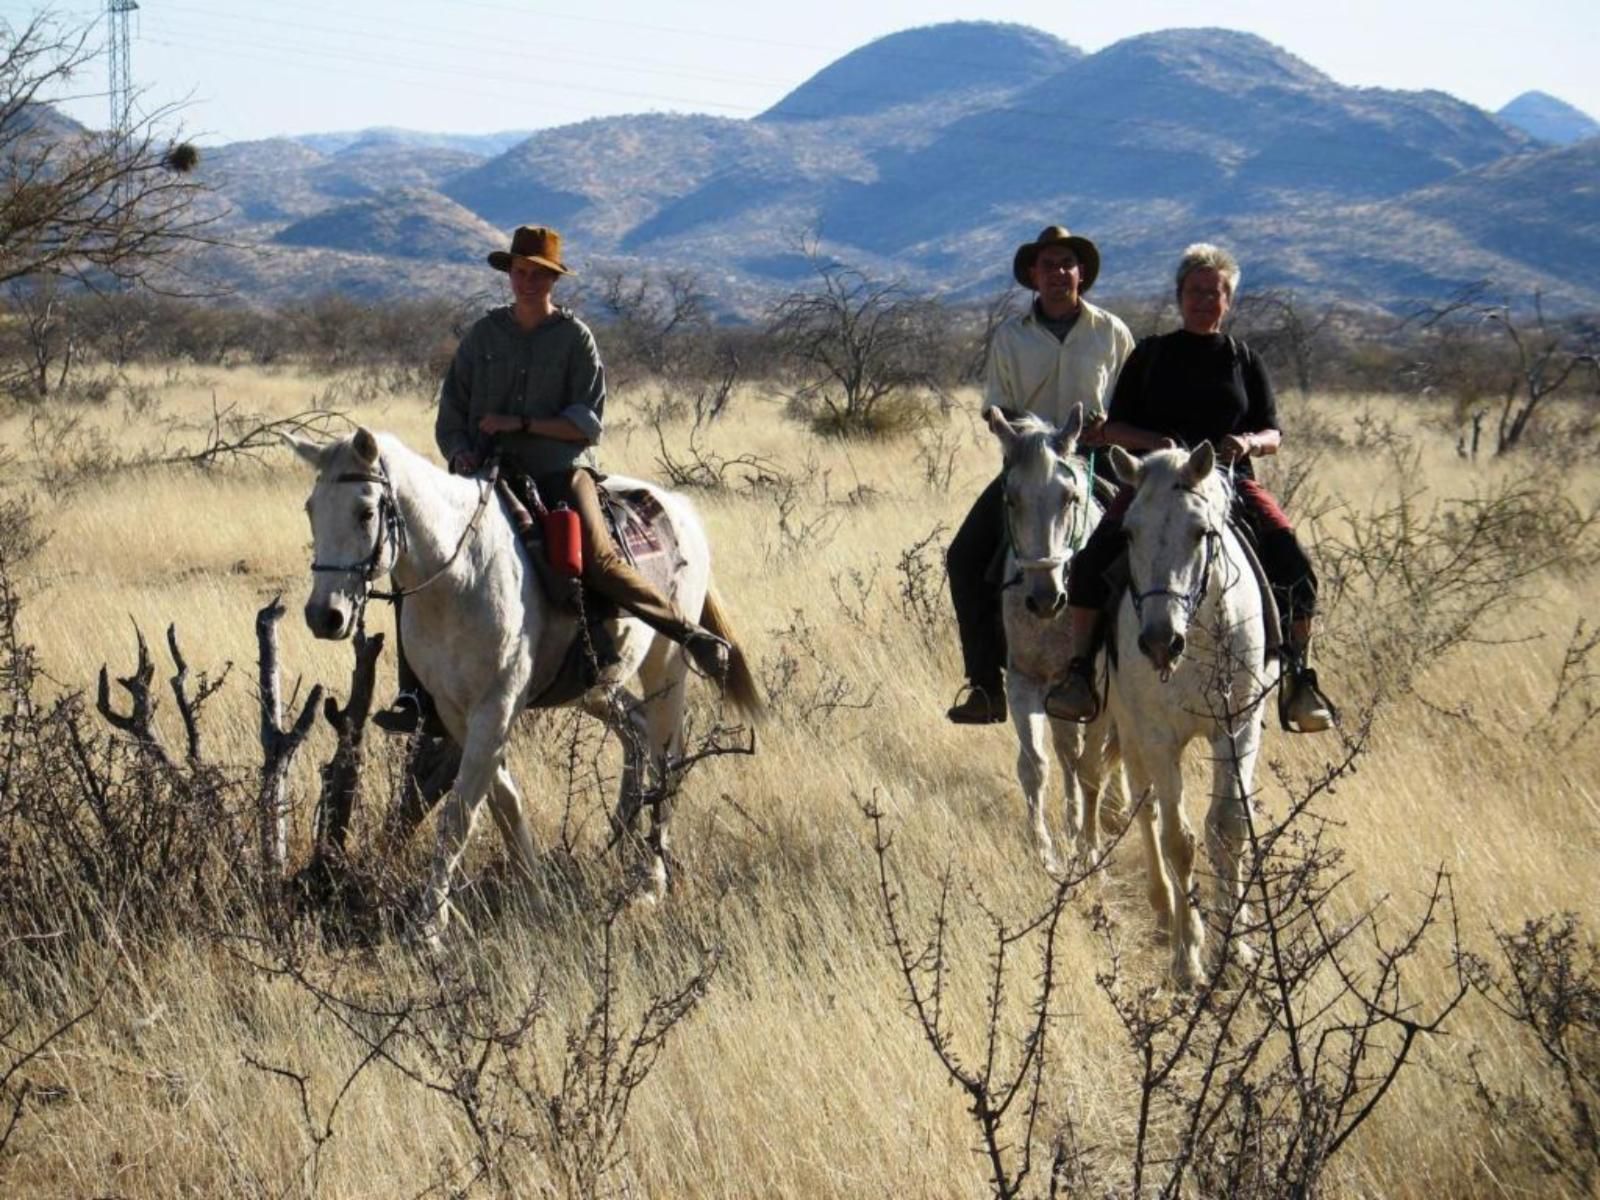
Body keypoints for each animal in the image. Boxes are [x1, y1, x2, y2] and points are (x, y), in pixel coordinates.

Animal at [288, 425, 761, 940]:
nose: (324, 616)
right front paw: (532, 897)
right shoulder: (458, 712)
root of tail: (677, 506)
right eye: (310, 508)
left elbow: (460, 813)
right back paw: (620, 834)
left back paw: (649, 880)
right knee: (634, 727)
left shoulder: (494, 708)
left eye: (366, 510)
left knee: (667, 755)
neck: (459, 575)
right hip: (595, 686)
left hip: (666, 664)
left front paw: (429, 925)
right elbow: (502, 802)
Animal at [979, 409, 1120, 876]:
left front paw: (1091, 851)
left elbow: (1092, 767)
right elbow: (1036, 766)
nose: (1045, 599)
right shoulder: (1024, 682)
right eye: (1010, 499)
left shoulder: (1101, 694)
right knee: (1065, 751)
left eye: (1070, 498)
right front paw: (1044, 850)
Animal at [1113, 441, 1273, 985]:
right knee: (1144, 807)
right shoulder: (1159, 738)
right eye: (1129, 532)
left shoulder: (1239, 729)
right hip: (1130, 730)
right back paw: (1165, 912)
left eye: (1202, 531)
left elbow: (1228, 828)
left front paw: (1239, 945)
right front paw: (1189, 958)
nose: (1161, 642)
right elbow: (1177, 840)